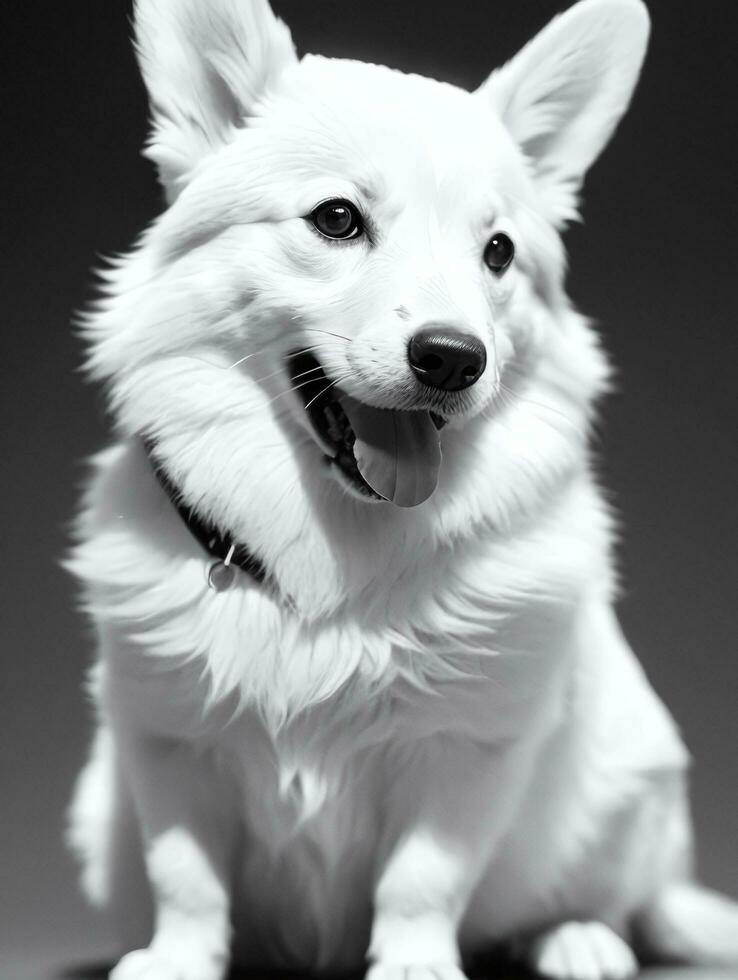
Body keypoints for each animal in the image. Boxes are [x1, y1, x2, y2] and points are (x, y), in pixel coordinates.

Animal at [66, 1, 732, 980]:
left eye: (499, 252)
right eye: (337, 219)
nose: (454, 358)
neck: (339, 538)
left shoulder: (467, 752)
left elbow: (422, 880)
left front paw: (416, 963)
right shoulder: (168, 740)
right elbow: (185, 874)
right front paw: (178, 959)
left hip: (628, 787)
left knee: (615, 900)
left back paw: (575, 937)